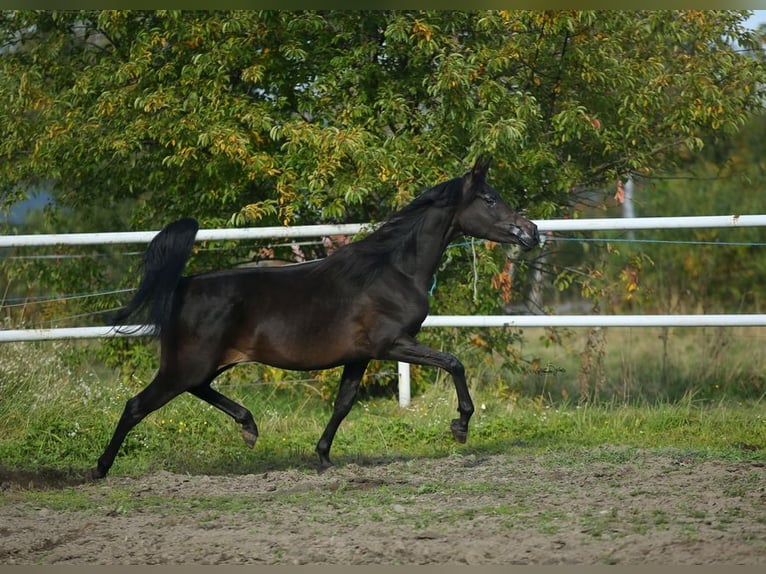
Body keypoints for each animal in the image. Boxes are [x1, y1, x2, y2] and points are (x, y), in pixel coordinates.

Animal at [92, 157, 539, 478]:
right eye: (490, 199)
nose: (531, 231)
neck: (391, 271)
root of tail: (183, 284)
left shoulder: (360, 355)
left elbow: (344, 404)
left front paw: (323, 457)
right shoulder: (392, 343)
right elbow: (453, 363)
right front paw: (460, 426)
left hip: (203, 363)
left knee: (197, 389)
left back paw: (249, 427)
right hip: (187, 363)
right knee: (137, 405)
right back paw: (99, 468)